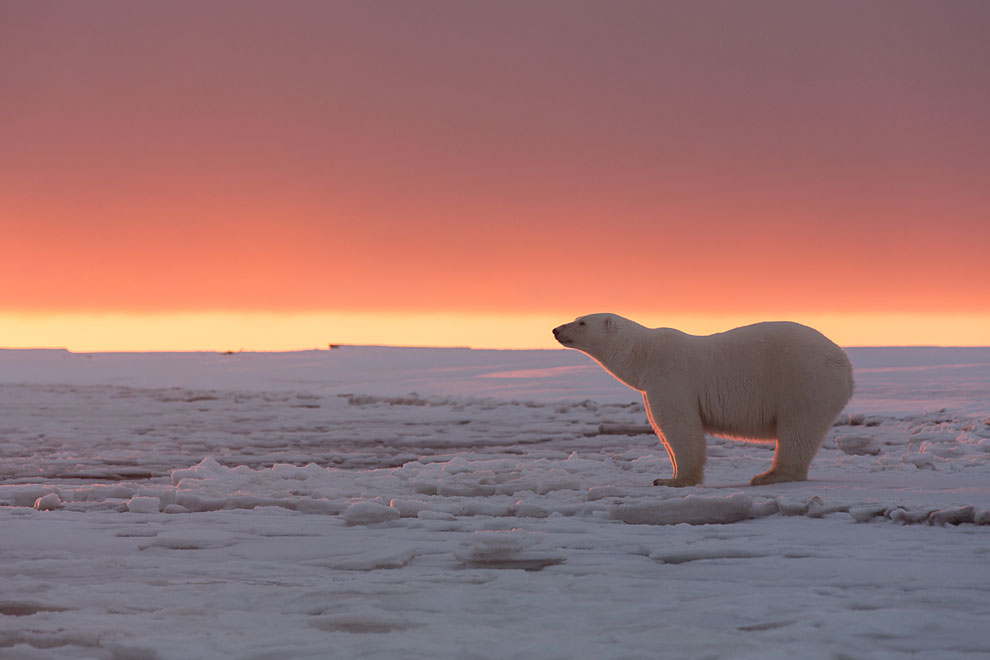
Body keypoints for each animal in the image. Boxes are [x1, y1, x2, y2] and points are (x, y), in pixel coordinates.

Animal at [556, 314, 856, 484]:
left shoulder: (670, 377)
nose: (556, 330)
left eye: (581, 322)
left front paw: (674, 480)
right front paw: (671, 475)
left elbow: (679, 426)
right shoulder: (650, 388)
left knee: (797, 429)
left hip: (805, 380)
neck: (644, 355)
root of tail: (844, 361)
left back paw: (769, 475)